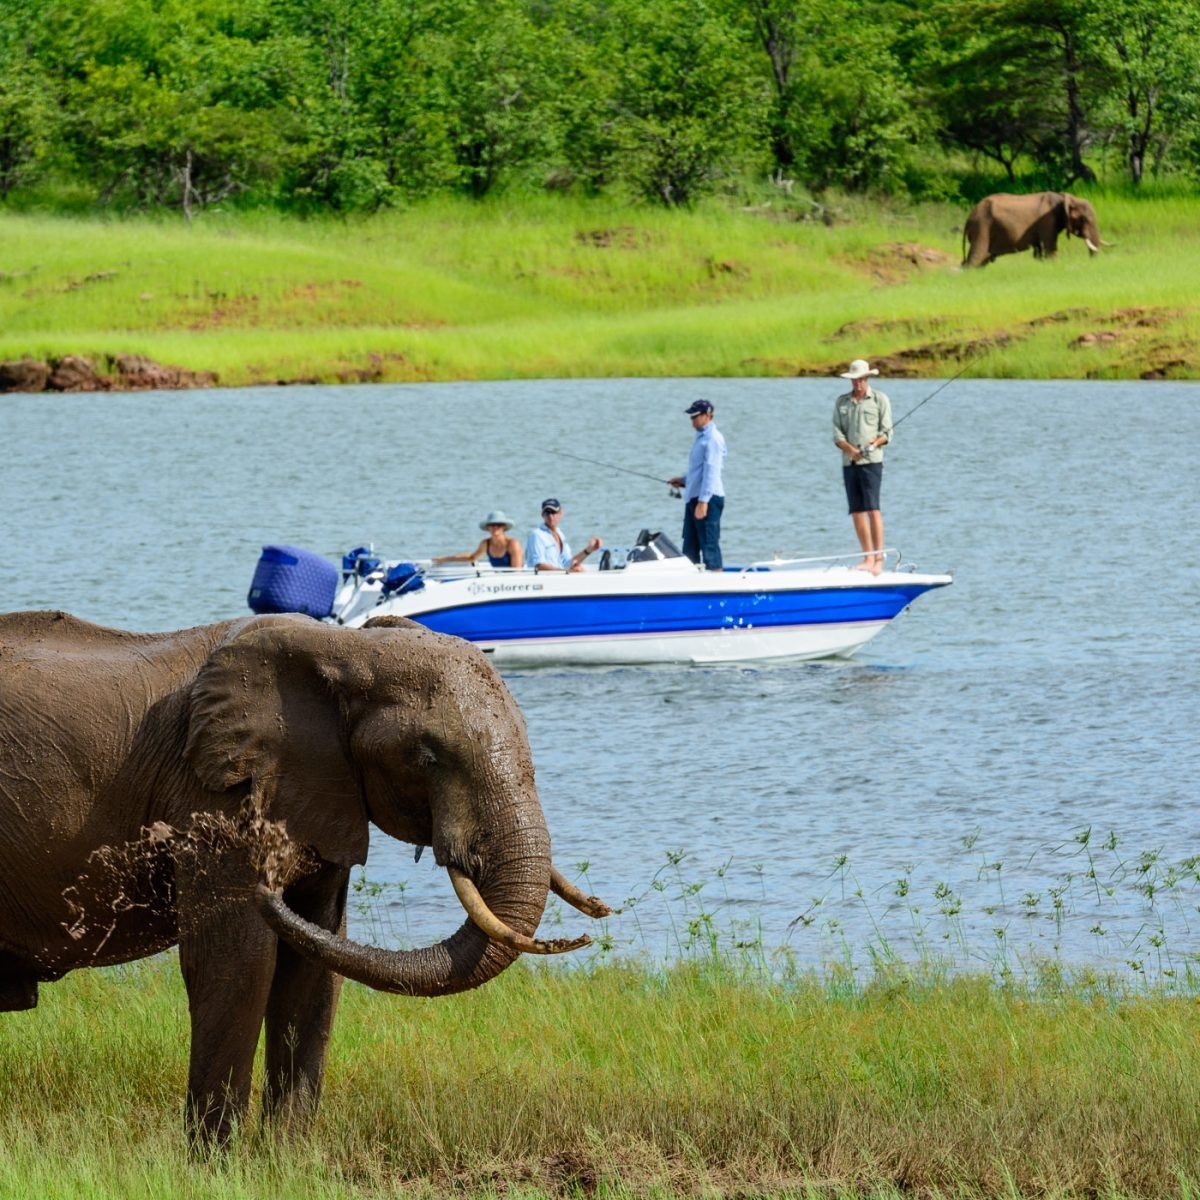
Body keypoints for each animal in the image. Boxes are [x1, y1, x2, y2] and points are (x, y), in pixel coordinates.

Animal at [0, 610, 610, 1146]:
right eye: (426, 757)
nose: (598, 917)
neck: (344, 648)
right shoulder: (216, 801)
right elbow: (238, 962)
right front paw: (214, 1167)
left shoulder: (321, 792)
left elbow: (314, 962)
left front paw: (284, 1158)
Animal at [962, 192, 1109, 267]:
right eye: (1084, 219)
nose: (1092, 262)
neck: (1064, 197)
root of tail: (969, 217)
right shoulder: (1047, 221)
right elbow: (1050, 248)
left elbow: (1038, 251)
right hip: (982, 227)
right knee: (976, 257)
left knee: (982, 260)